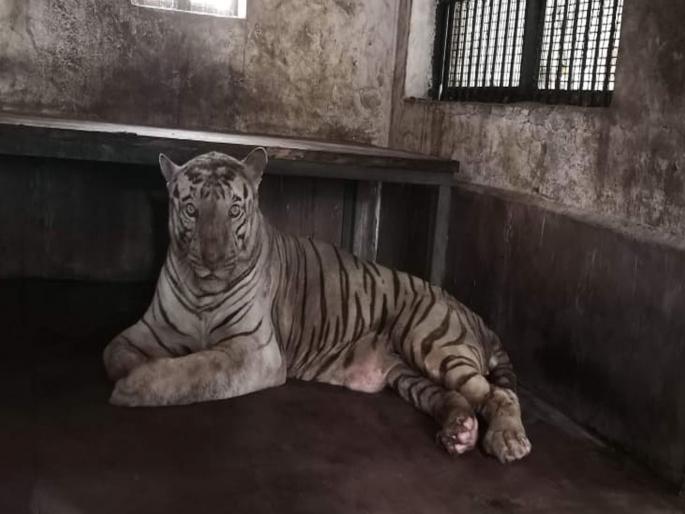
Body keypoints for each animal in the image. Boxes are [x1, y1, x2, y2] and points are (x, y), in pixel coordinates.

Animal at [103, 148, 532, 463]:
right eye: (192, 210)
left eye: (234, 210)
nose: (212, 259)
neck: (202, 289)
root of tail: (469, 309)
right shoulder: (150, 329)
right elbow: (114, 354)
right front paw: (135, 369)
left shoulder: (253, 349)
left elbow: (197, 369)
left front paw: (135, 387)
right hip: (407, 373)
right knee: (454, 396)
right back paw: (460, 432)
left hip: (430, 341)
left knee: (498, 394)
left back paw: (508, 441)